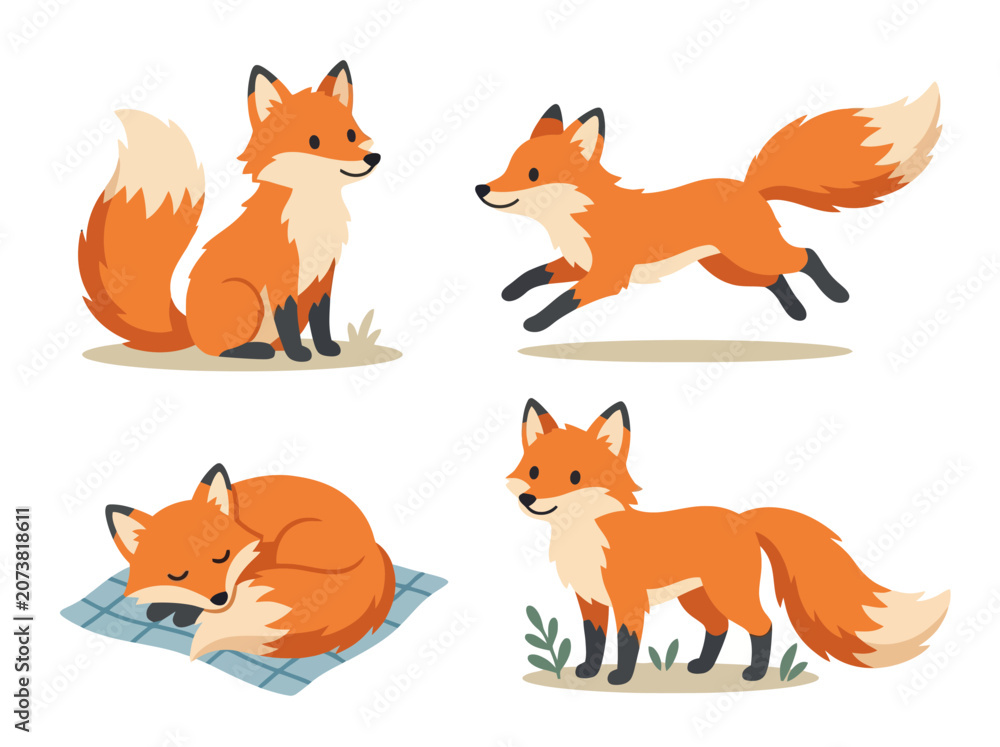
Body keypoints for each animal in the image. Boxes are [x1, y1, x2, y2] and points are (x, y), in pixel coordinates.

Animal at [79, 61, 381, 361]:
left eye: (351, 135)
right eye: (313, 141)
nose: (372, 158)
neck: (314, 213)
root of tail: (190, 328)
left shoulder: (324, 276)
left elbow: (321, 319)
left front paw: (326, 349)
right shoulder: (281, 278)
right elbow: (287, 318)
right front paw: (298, 354)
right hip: (245, 295)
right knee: (221, 350)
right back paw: (256, 351)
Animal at [105, 464, 395, 660]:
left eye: (222, 557)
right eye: (177, 575)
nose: (220, 598)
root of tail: (373, 548)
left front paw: (183, 614)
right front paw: (165, 606)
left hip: (294, 540)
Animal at [477, 86, 941, 330]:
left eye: (532, 173)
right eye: (509, 166)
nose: (482, 188)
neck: (578, 218)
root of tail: (748, 187)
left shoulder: (608, 277)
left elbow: (564, 300)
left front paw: (534, 323)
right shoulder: (580, 263)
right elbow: (537, 274)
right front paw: (511, 292)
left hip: (752, 255)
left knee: (806, 256)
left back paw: (836, 293)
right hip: (729, 268)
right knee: (777, 279)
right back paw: (797, 312)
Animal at [508, 399, 950, 684]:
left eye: (575, 477)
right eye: (534, 471)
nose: (528, 499)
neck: (585, 537)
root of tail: (742, 518)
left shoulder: (628, 600)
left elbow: (626, 643)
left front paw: (619, 677)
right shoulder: (591, 600)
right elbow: (593, 640)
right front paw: (588, 671)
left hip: (728, 593)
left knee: (762, 624)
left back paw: (754, 673)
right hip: (699, 597)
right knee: (718, 629)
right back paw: (702, 667)